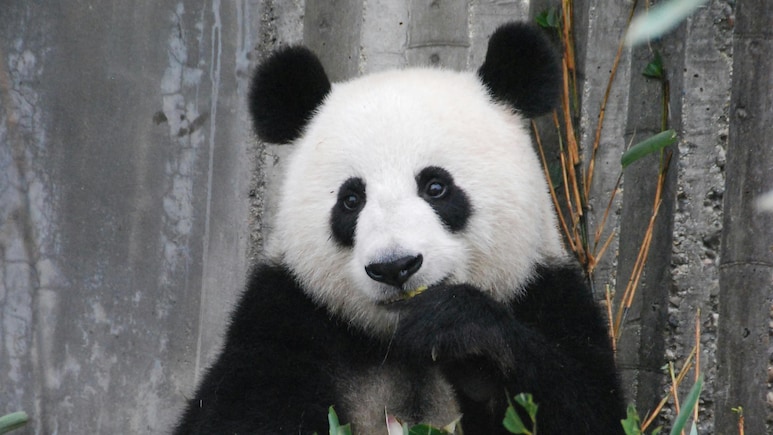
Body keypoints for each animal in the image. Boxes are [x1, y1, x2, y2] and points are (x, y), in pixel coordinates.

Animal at [175, 22, 625, 434]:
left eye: (436, 187)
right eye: (351, 200)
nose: (394, 267)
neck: (395, 341)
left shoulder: (547, 293)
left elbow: (588, 404)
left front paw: (465, 340)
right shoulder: (284, 318)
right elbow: (237, 413)